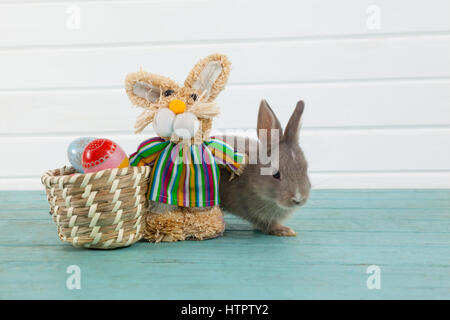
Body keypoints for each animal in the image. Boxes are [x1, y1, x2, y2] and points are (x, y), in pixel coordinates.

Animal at [217, 100, 310, 238]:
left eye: (305, 169)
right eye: (276, 174)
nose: (298, 199)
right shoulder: (251, 210)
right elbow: (266, 224)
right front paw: (284, 230)